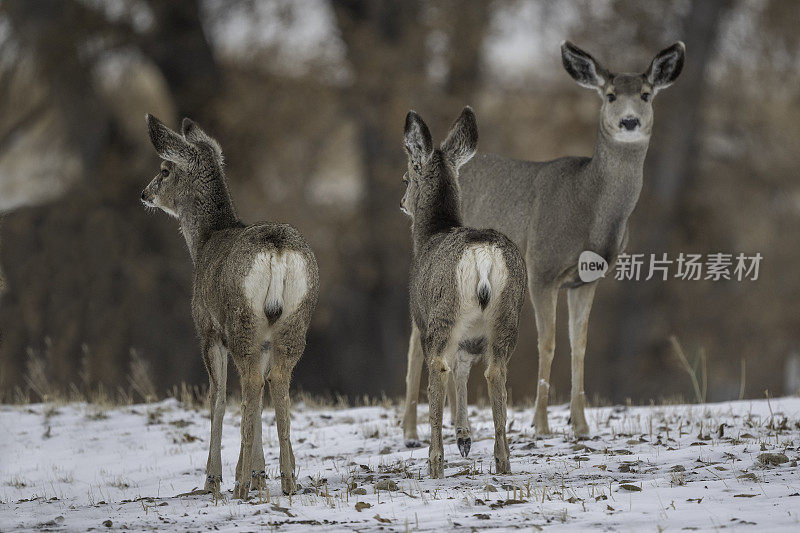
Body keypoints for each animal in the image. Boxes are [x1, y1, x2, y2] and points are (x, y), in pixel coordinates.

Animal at [404, 41, 684, 438]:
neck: (588, 207)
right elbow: (547, 343)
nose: (630, 122)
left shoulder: (587, 279)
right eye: (611, 95)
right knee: (416, 342)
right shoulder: (542, 268)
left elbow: (579, 344)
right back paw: (410, 430)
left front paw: (580, 424)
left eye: (646, 94)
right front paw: (540, 424)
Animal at [404, 106, 528, 476]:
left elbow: (450, 370)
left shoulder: (421, 319)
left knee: (438, 368)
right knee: (495, 371)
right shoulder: (471, 335)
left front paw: (459, 440)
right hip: (508, 313)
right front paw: (464, 437)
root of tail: (483, 255)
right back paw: (502, 460)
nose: (402, 201)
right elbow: (463, 368)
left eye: (405, 178)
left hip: (442, 313)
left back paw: (435, 462)